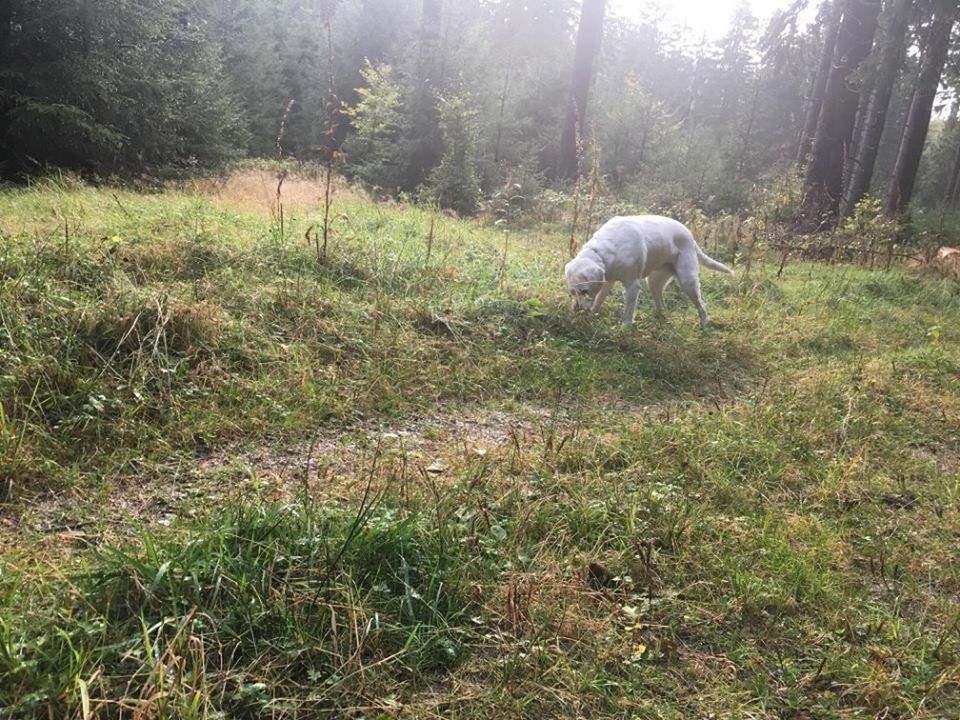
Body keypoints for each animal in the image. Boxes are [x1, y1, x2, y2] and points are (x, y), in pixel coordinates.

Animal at [568, 214, 732, 326]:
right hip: (654, 281)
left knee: (702, 305)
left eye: (584, 291)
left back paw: (704, 324)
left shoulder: (633, 285)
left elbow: (628, 311)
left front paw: (624, 328)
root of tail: (691, 237)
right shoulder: (608, 281)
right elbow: (598, 300)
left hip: (688, 281)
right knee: (662, 305)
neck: (604, 251)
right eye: (572, 292)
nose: (576, 309)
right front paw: (592, 315)